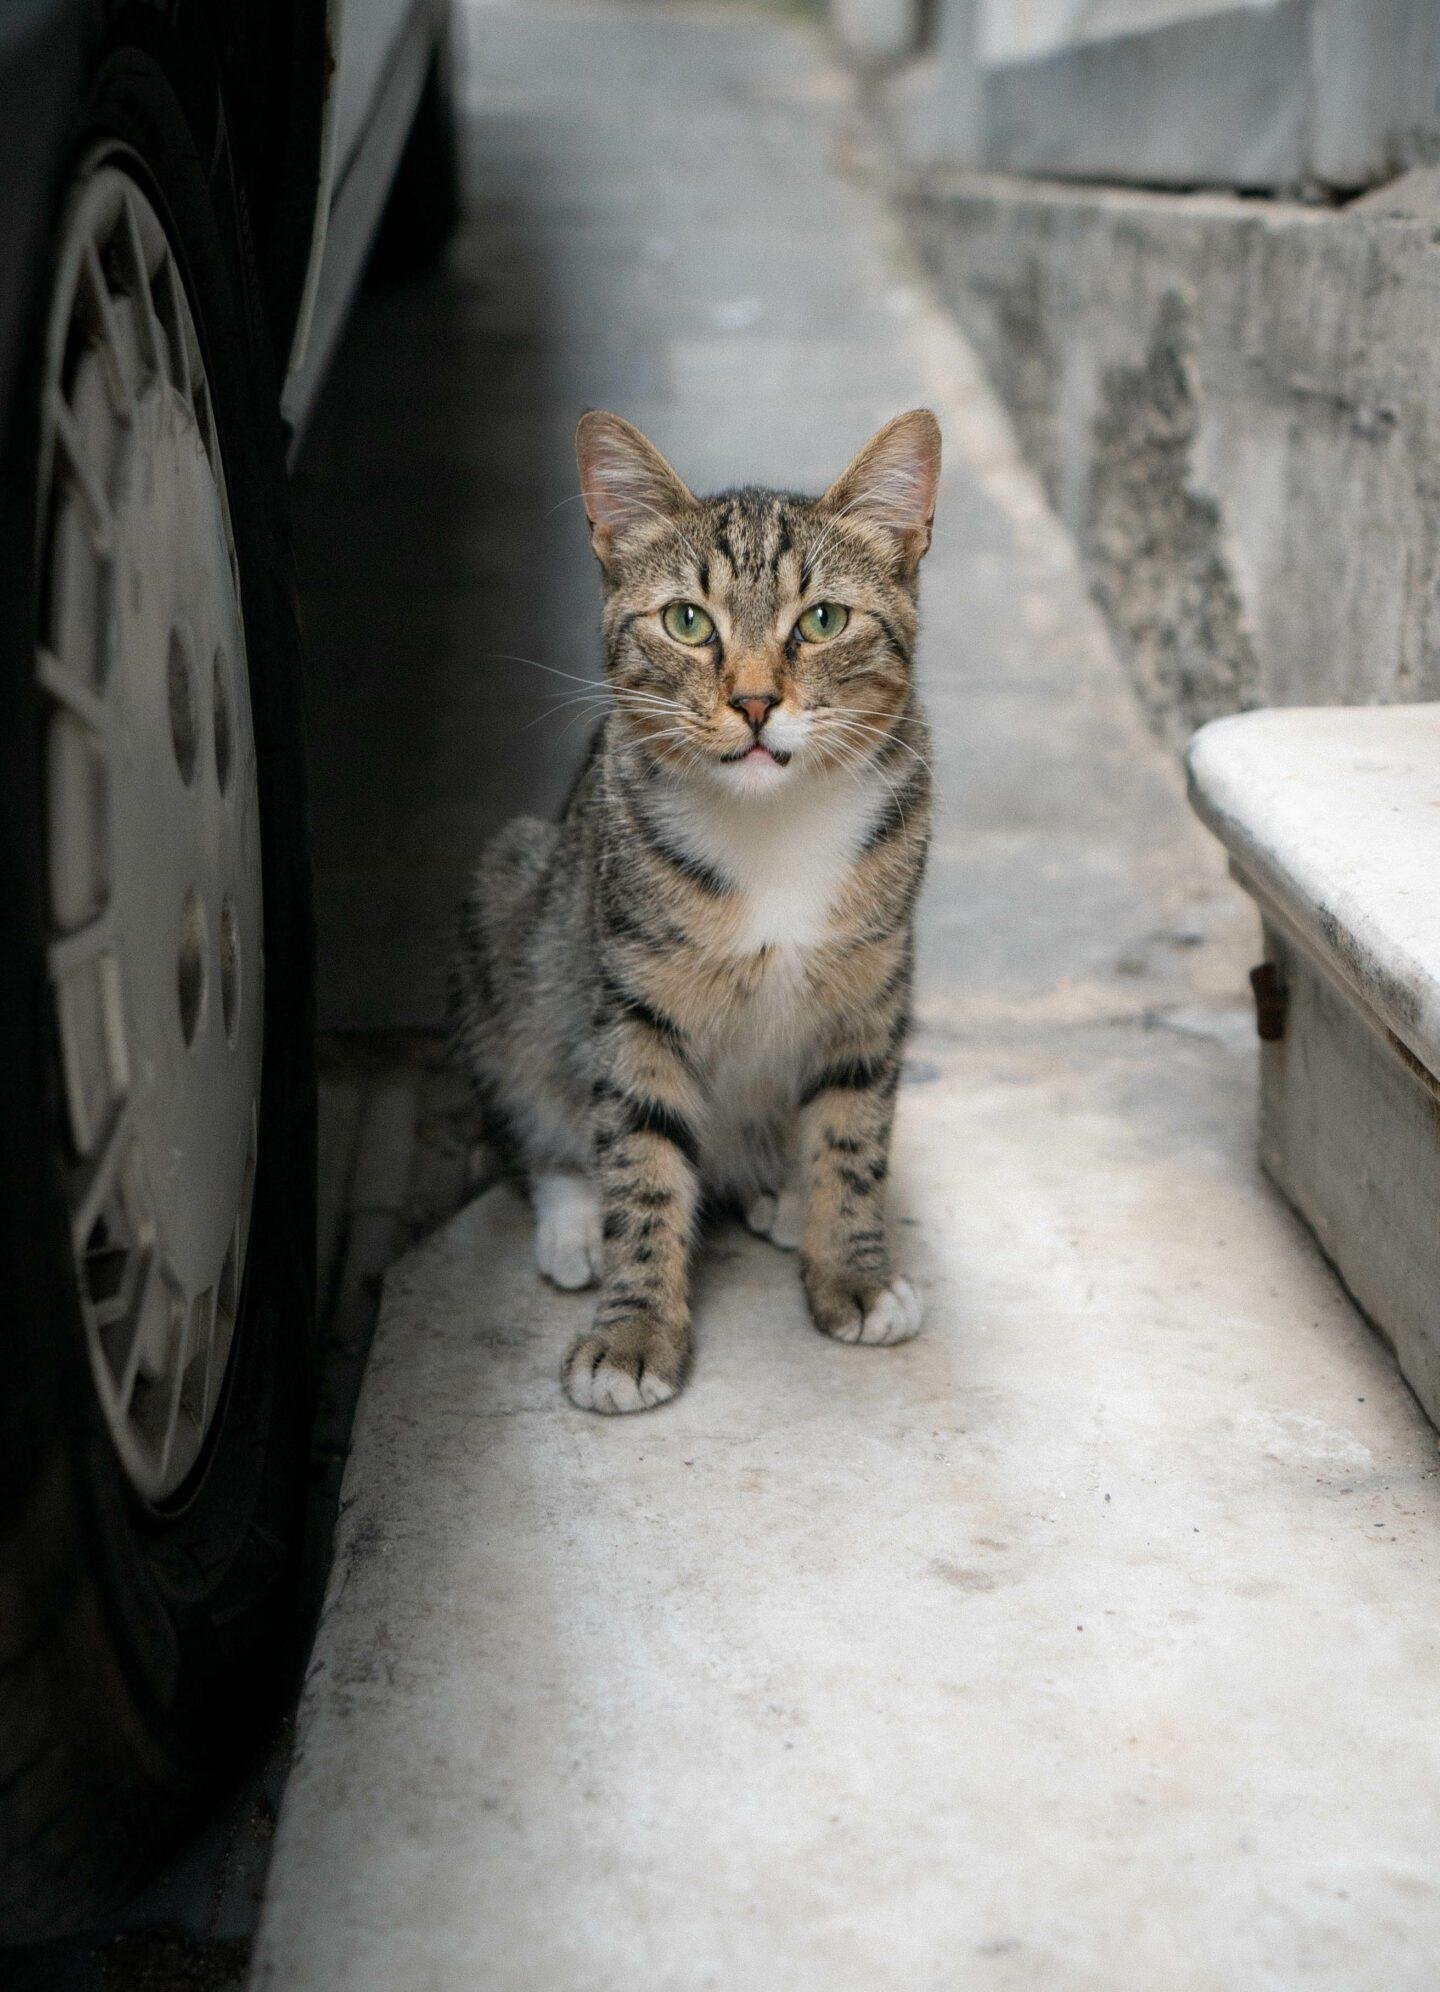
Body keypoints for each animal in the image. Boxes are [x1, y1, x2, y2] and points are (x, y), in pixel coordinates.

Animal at [454, 404, 948, 1410]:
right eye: (687, 621)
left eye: (823, 620)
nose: (755, 702)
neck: (776, 828)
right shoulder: (634, 996)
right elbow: (641, 1159)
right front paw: (634, 1330)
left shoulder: (874, 981)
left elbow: (854, 1132)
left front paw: (854, 1271)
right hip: (513, 906)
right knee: (546, 1113)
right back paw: (575, 1225)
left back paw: (781, 1192)